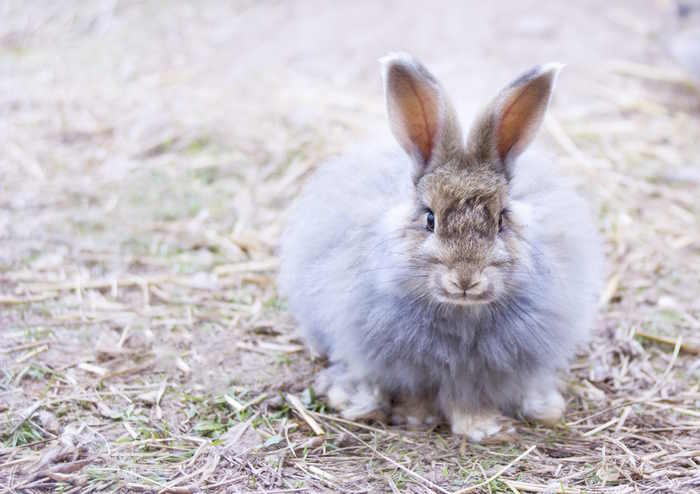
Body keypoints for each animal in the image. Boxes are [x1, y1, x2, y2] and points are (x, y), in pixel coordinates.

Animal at [279, 53, 603, 442]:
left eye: (501, 221)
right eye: (430, 219)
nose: (465, 279)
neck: (460, 313)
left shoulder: (478, 373)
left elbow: (468, 399)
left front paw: (483, 427)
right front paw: (416, 418)